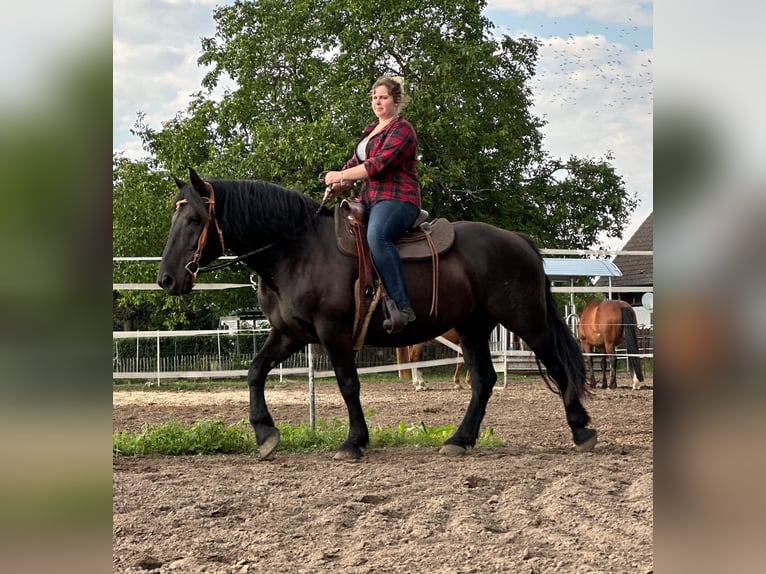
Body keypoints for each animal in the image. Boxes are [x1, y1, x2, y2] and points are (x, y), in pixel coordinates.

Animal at [158, 169, 600, 462]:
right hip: (473, 327)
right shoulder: (289, 334)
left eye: (194, 218)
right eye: (173, 217)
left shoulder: (332, 333)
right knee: (484, 381)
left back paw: (581, 429)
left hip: (526, 321)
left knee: (558, 366)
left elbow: (348, 384)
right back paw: (459, 439)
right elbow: (254, 372)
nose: (166, 279)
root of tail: (519, 241)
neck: (295, 250)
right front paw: (265, 433)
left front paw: (354, 441)